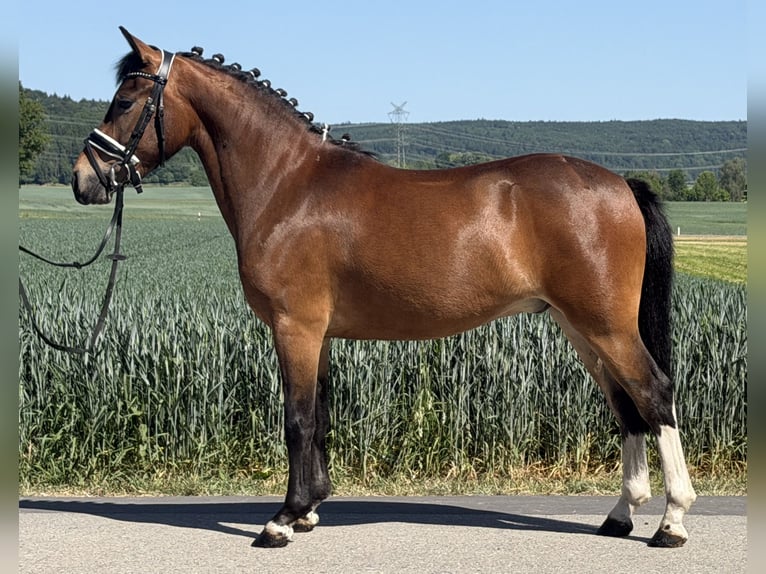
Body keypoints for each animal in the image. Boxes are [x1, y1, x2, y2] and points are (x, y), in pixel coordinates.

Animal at [72, 27, 696, 549]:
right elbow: (320, 416)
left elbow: (297, 419)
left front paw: (282, 520)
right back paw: (620, 515)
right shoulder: (319, 334)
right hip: (581, 328)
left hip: (606, 325)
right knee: (626, 405)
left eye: (125, 101)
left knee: (654, 393)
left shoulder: (295, 327)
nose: (83, 180)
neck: (288, 184)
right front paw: (310, 510)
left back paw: (671, 522)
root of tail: (620, 183)